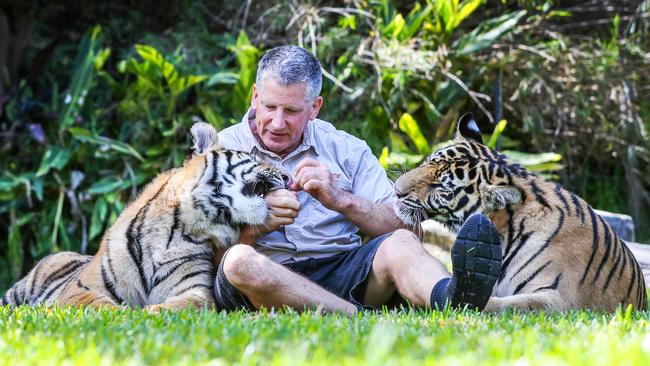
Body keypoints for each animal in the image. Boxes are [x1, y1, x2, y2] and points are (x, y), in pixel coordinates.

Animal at [0, 123, 284, 312]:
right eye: (254, 157)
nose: (286, 175)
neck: (183, 230)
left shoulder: (195, 291)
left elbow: (171, 308)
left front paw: (149, 314)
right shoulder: (82, 290)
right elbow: (107, 309)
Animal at [392, 113, 644, 312]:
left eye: (440, 186)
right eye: (427, 161)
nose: (396, 190)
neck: (504, 229)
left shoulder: (557, 299)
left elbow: (503, 304)